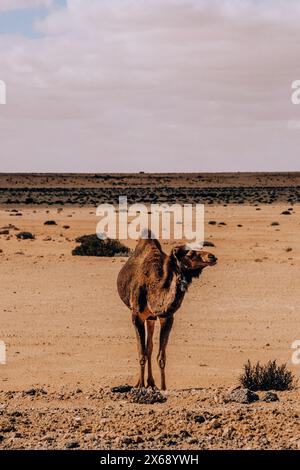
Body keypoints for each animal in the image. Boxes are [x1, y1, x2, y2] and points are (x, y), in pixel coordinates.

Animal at [116, 231, 217, 390]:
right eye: (189, 254)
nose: (212, 256)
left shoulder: (167, 317)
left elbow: (161, 356)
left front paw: (163, 388)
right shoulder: (136, 316)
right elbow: (141, 354)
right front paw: (140, 386)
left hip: (151, 318)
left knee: (149, 347)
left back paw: (151, 383)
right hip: (143, 316)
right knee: (143, 349)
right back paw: (142, 383)